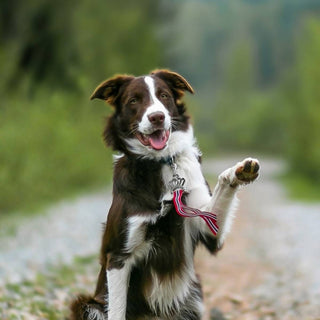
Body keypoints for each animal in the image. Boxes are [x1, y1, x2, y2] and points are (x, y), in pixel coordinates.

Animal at [70, 70, 260, 320]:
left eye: (164, 96)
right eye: (134, 100)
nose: (157, 117)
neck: (160, 163)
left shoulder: (208, 228)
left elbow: (222, 186)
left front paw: (239, 170)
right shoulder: (118, 256)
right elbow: (118, 309)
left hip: (193, 296)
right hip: (87, 304)